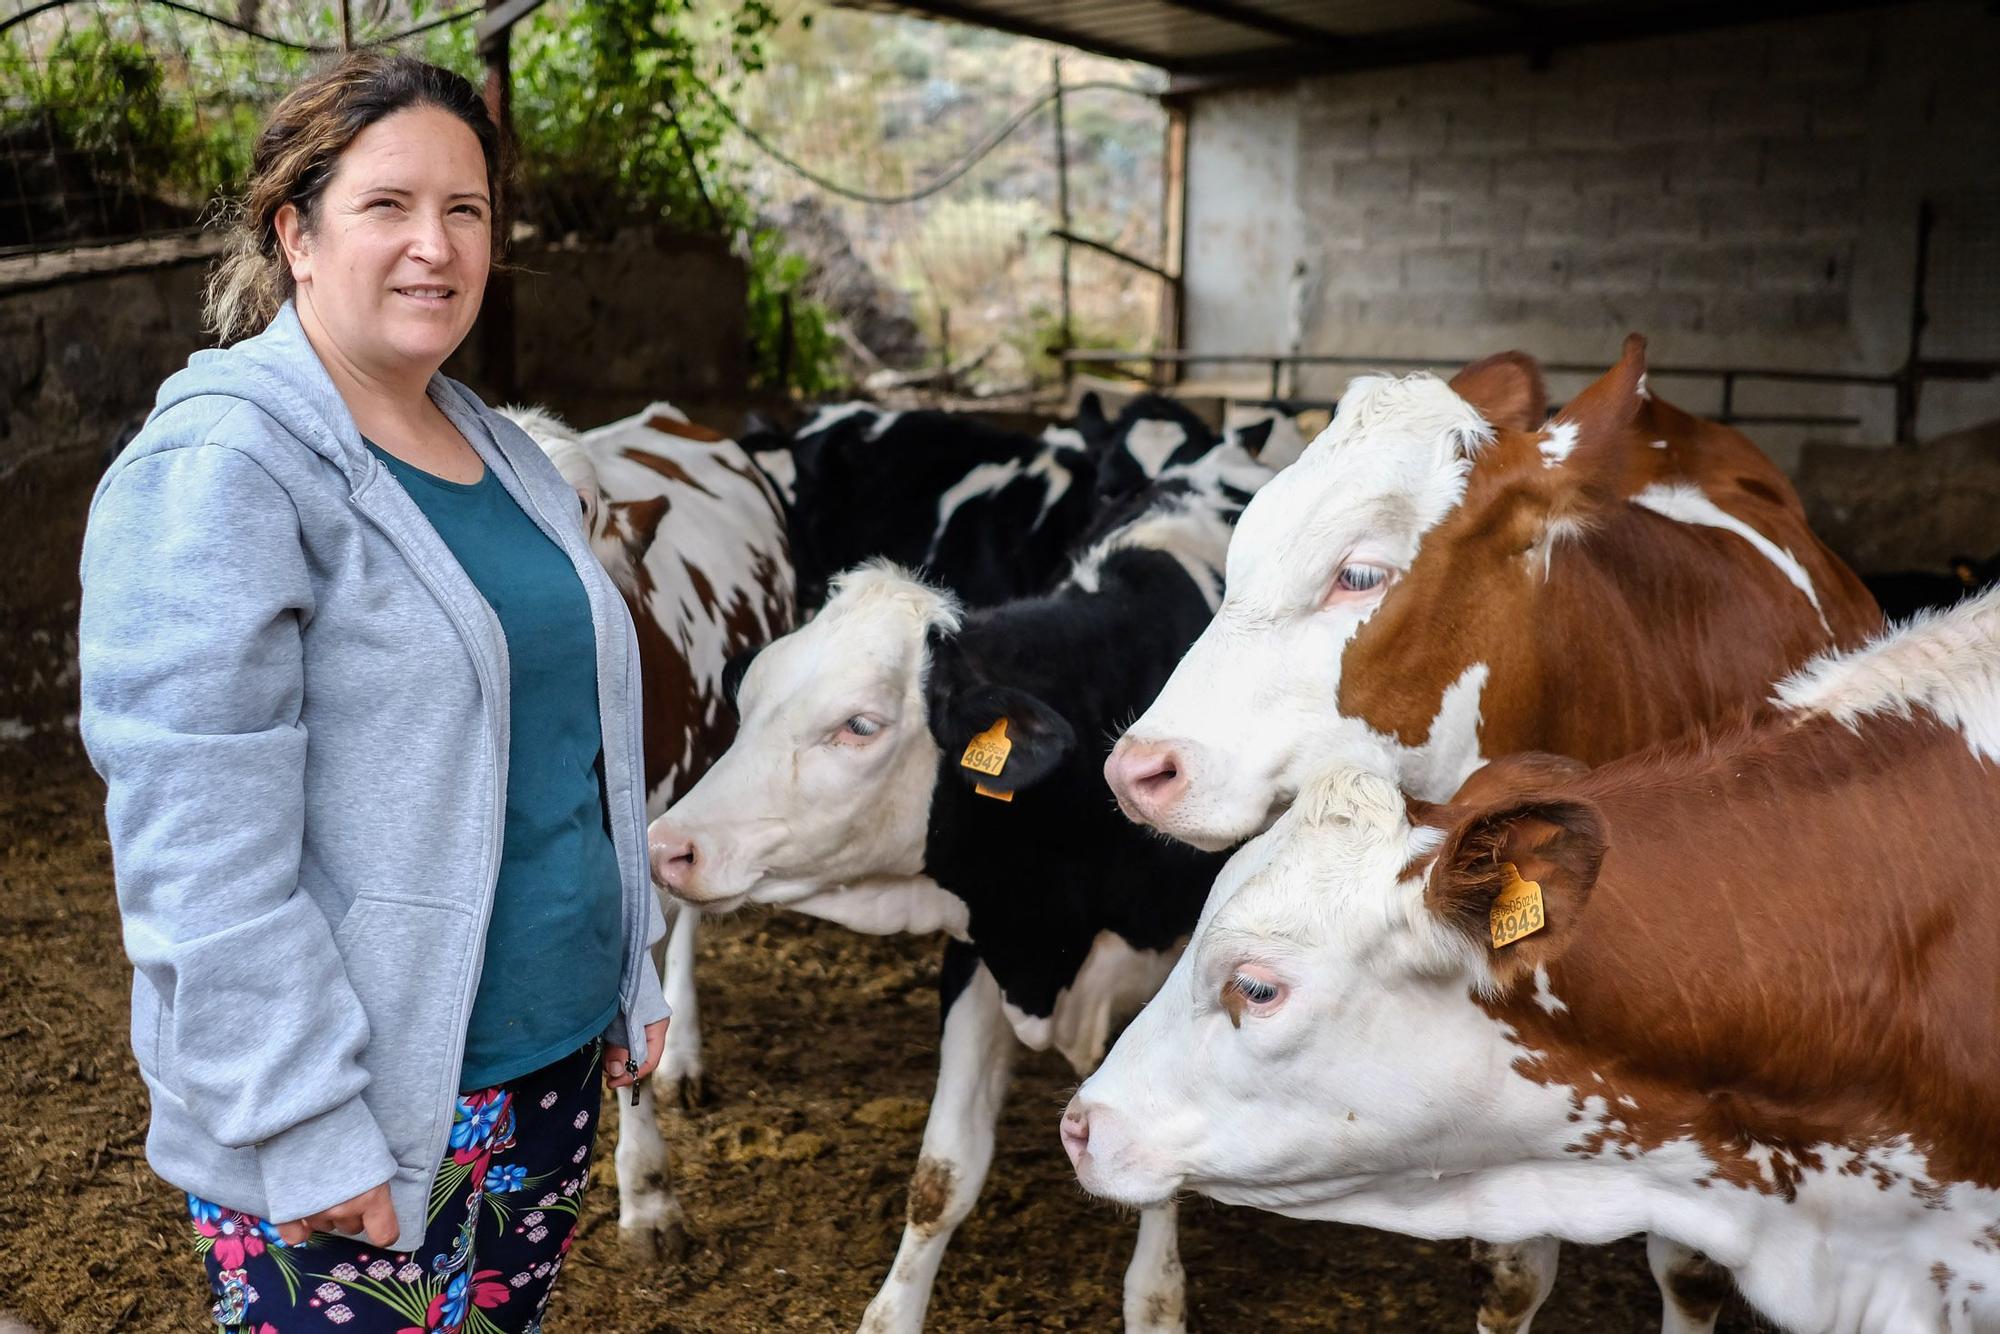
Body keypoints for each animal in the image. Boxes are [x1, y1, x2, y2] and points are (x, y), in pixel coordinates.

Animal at [652, 444, 1280, 1328]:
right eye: (750, 699)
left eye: (860, 725)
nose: (668, 846)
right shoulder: (980, 946)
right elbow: (942, 1174)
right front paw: (891, 1312)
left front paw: (1157, 1302)